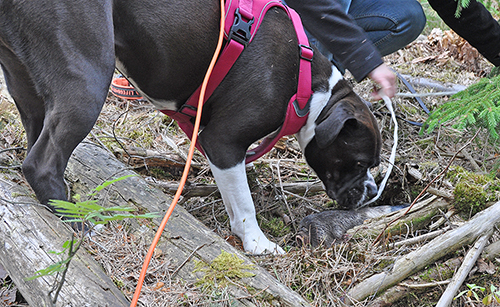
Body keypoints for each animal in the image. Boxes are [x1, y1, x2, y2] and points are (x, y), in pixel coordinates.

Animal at [0, 0, 382, 255]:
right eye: (360, 162)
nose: (372, 192)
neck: (311, 91)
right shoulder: (223, 142)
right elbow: (244, 205)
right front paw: (257, 243)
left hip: (26, 83)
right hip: (88, 78)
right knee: (41, 162)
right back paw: (79, 224)